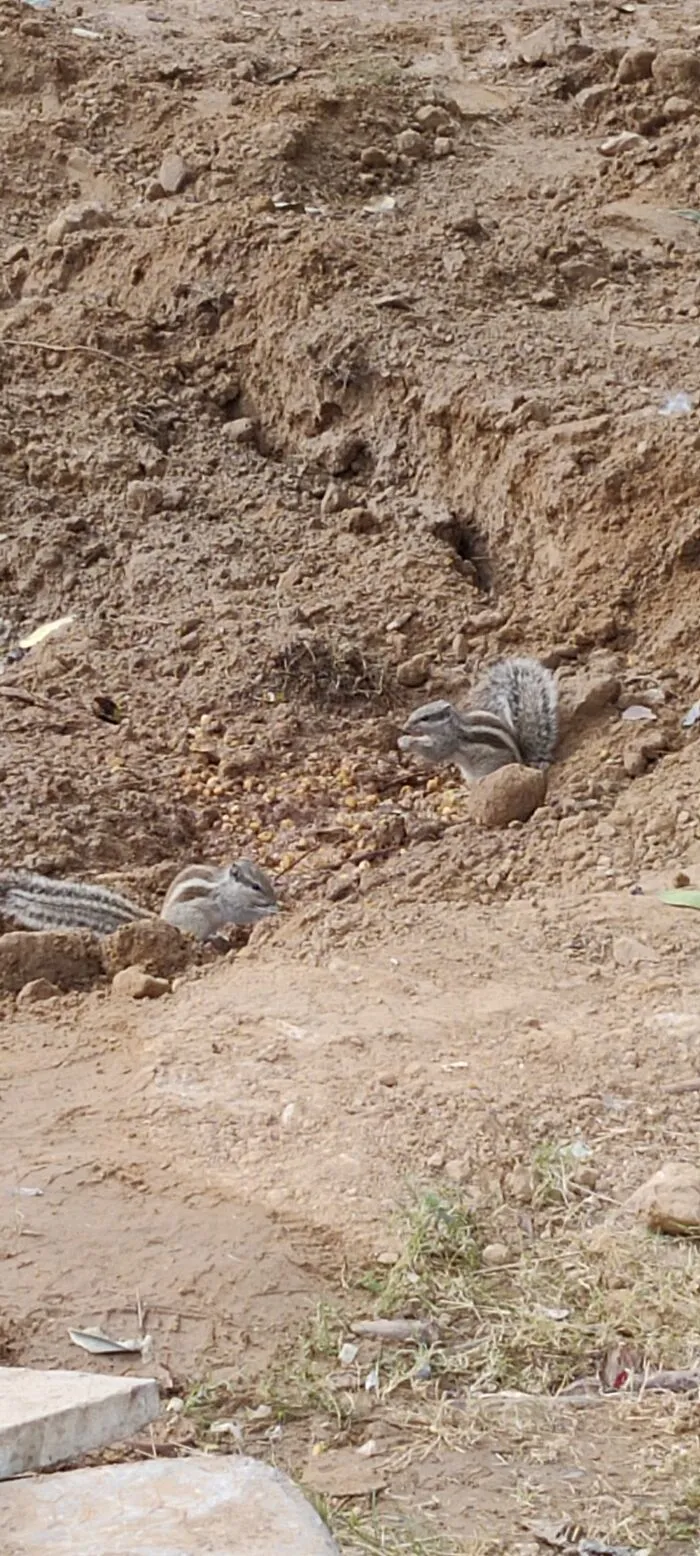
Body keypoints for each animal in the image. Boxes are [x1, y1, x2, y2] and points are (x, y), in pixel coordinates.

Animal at [0, 859, 279, 942]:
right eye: (255, 886)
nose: (273, 897)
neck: (226, 886)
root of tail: (162, 921)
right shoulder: (231, 905)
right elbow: (243, 914)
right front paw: (270, 910)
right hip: (196, 922)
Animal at [397, 656, 558, 783]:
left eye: (425, 718)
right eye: (415, 712)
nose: (405, 727)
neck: (451, 725)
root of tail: (522, 762)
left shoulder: (448, 743)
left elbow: (434, 753)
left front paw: (408, 741)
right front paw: (403, 740)